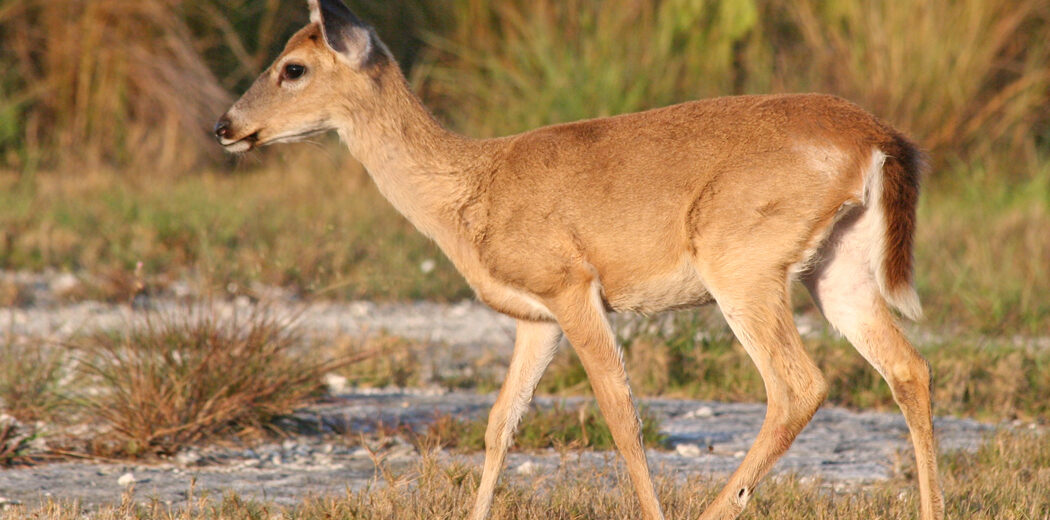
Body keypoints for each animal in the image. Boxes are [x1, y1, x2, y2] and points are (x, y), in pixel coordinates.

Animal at [214, 1, 943, 518]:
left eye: (293, 67)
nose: (225, 126)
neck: (470, 191)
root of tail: (880, 138)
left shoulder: (571, 285)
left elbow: (621, 413)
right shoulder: (534, 317)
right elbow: (500, 423)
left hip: (741, 262)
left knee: (798, 384)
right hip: (837, 269)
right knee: (907, 368)